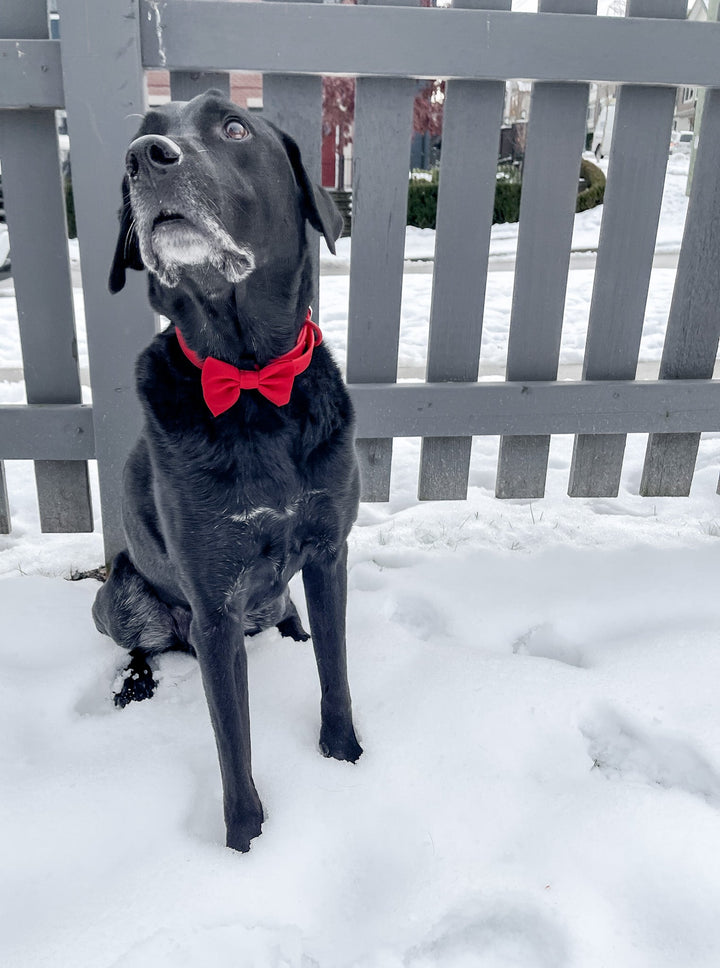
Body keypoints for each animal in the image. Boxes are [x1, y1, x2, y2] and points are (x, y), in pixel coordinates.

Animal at [95, 89, 362, 848]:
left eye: (235, 128)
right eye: (143, 133)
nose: (143, 158)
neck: (250, 383)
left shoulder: (330, 552)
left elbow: (336, 672)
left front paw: (345, 756)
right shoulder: (213, 606)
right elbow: (232, 741)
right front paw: (244, 843)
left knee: (288, 613)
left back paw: (293, 630)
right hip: (123, 598)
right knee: (142, 643)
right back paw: (135, 684)